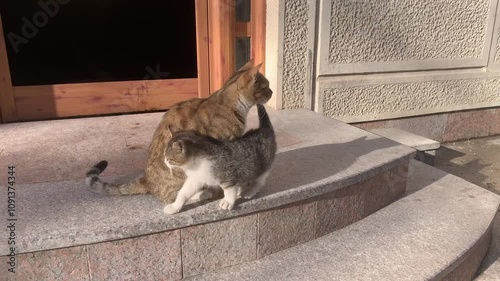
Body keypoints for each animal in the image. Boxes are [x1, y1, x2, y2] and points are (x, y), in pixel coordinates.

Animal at [86, 59, 274, 203]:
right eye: (267, 86)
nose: (272, 92)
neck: (230, 104)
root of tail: (146, 179)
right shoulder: (225, 144)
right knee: (172, 196)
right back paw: (204, 193)